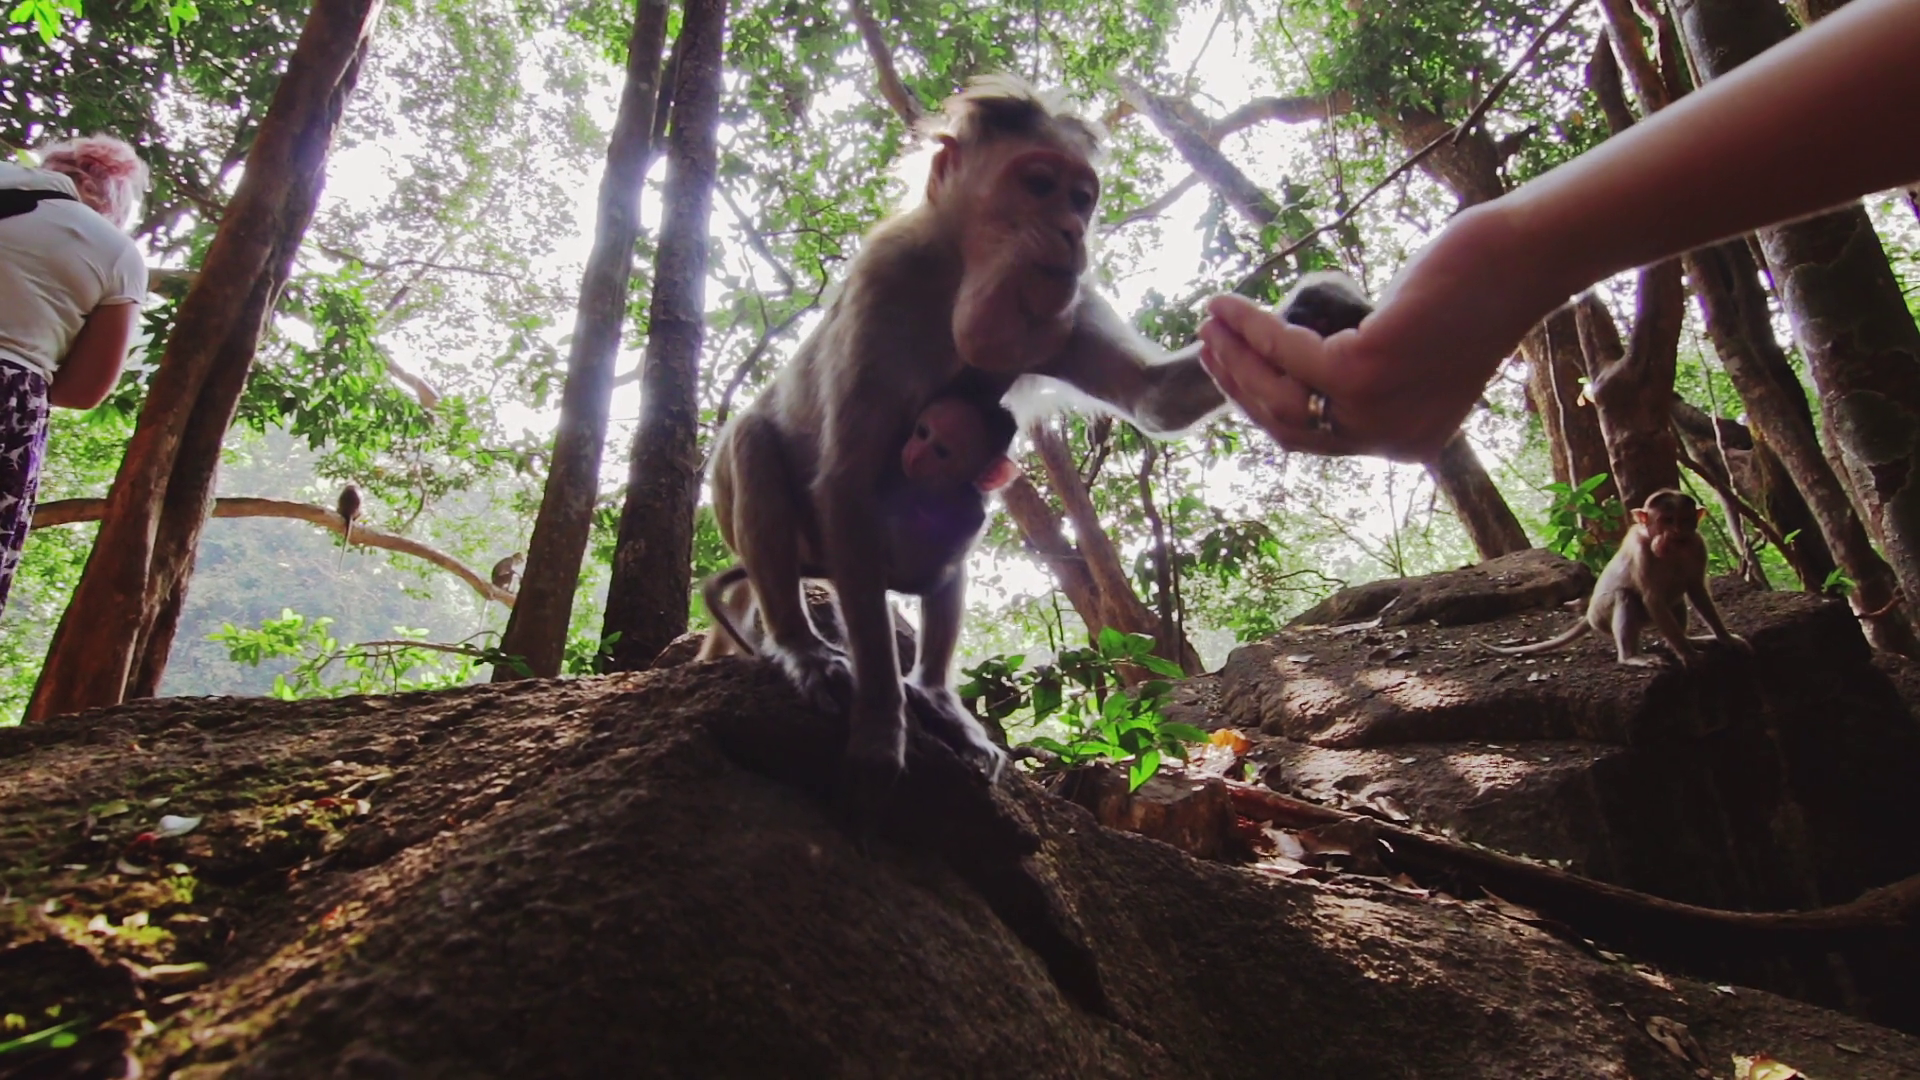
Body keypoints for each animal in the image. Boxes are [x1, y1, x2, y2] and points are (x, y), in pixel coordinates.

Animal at [707, 76, 1228, 805]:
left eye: (1081, 197)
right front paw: (880, 721)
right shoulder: (889, 276)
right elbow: (847, 478)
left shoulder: (1062, 303)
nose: (1072, 231)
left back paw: (932, 691)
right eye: (1039, 184)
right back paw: (800, 644)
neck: (962, 267)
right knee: (755, 440)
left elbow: (1155, 397)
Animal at [1481, 489, 1752, 668]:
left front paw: (1725, 639)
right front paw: (1688, 655)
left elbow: (1696, 590)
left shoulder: (1697, 545)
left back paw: (1688, 640)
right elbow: (1652, 599)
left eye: (1684, 521)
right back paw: (1632, 656)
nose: (1674, 534)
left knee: (1676, 600)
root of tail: (1589, 612)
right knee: (1625, 597)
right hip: (1602, 616)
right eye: (1666, 520)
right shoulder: (1642, 551)